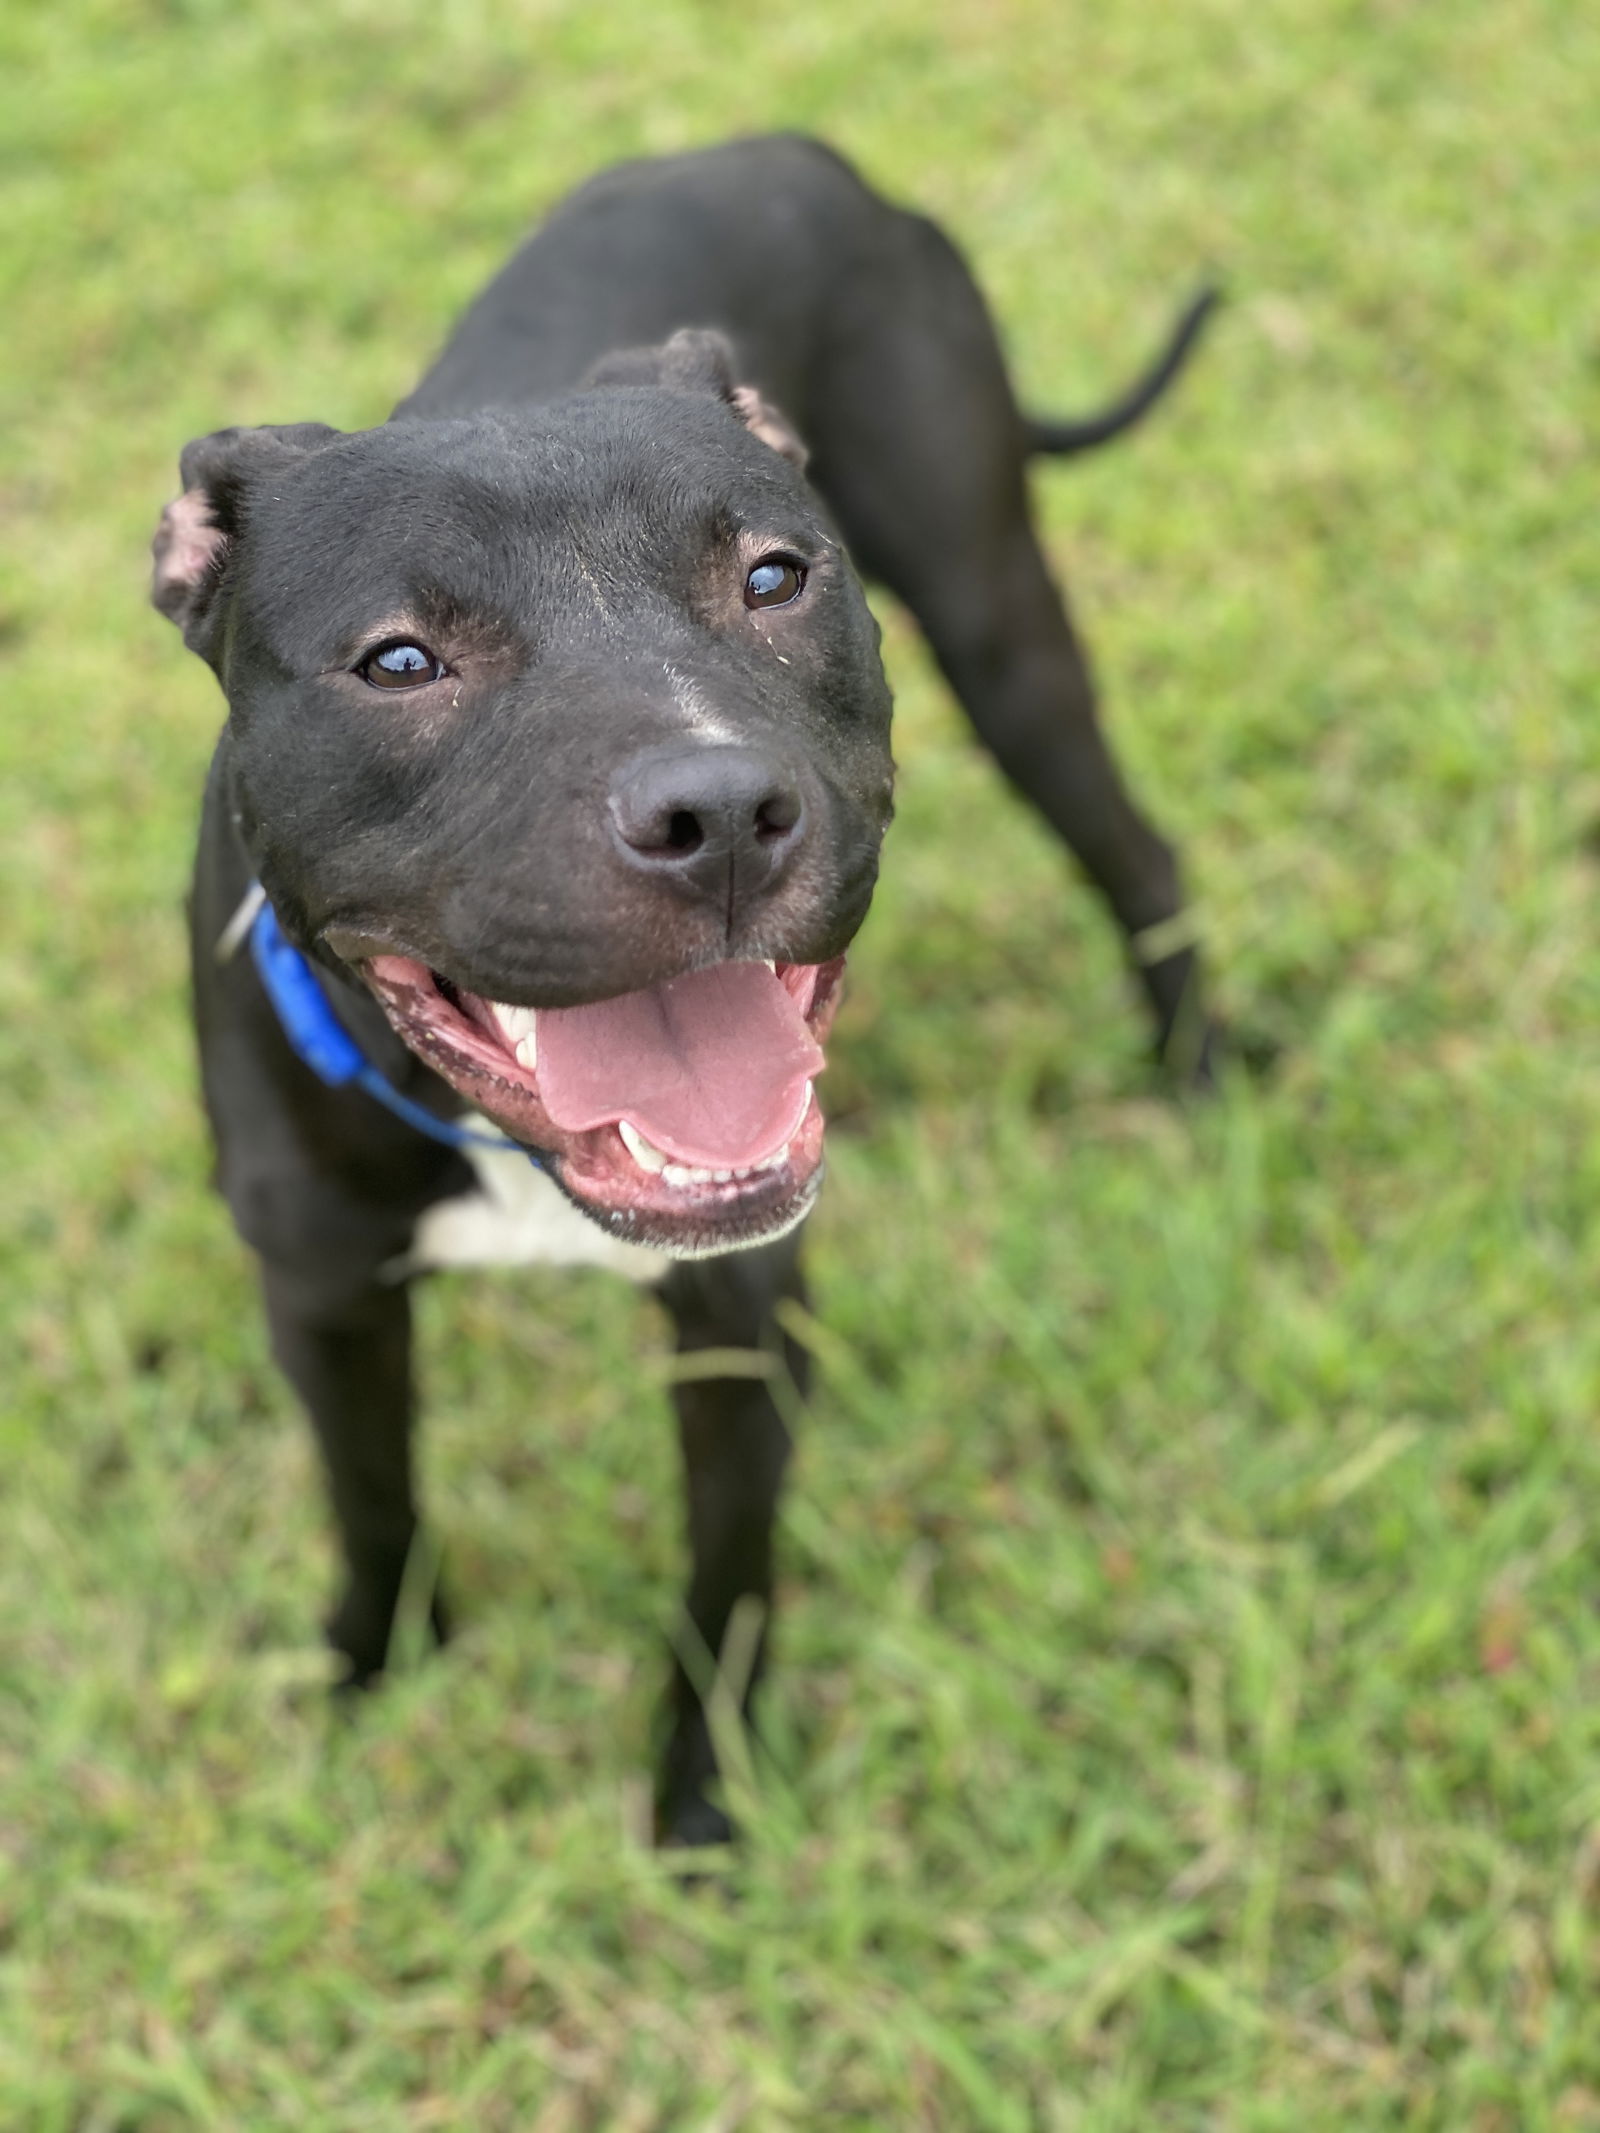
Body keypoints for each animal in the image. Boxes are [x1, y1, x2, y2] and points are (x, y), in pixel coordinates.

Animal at [156, 133, 1220, 1842]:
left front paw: (705, 1794)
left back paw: (1200, 1066)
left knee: (1137, 848)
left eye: (773, 575)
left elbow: (726, 1580)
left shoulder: (741, 1316)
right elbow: (371, 1493)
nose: (717, 810)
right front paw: (375, 1663)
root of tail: (796, 151)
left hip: (997, 613)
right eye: (399, 662)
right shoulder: (320, 1297)